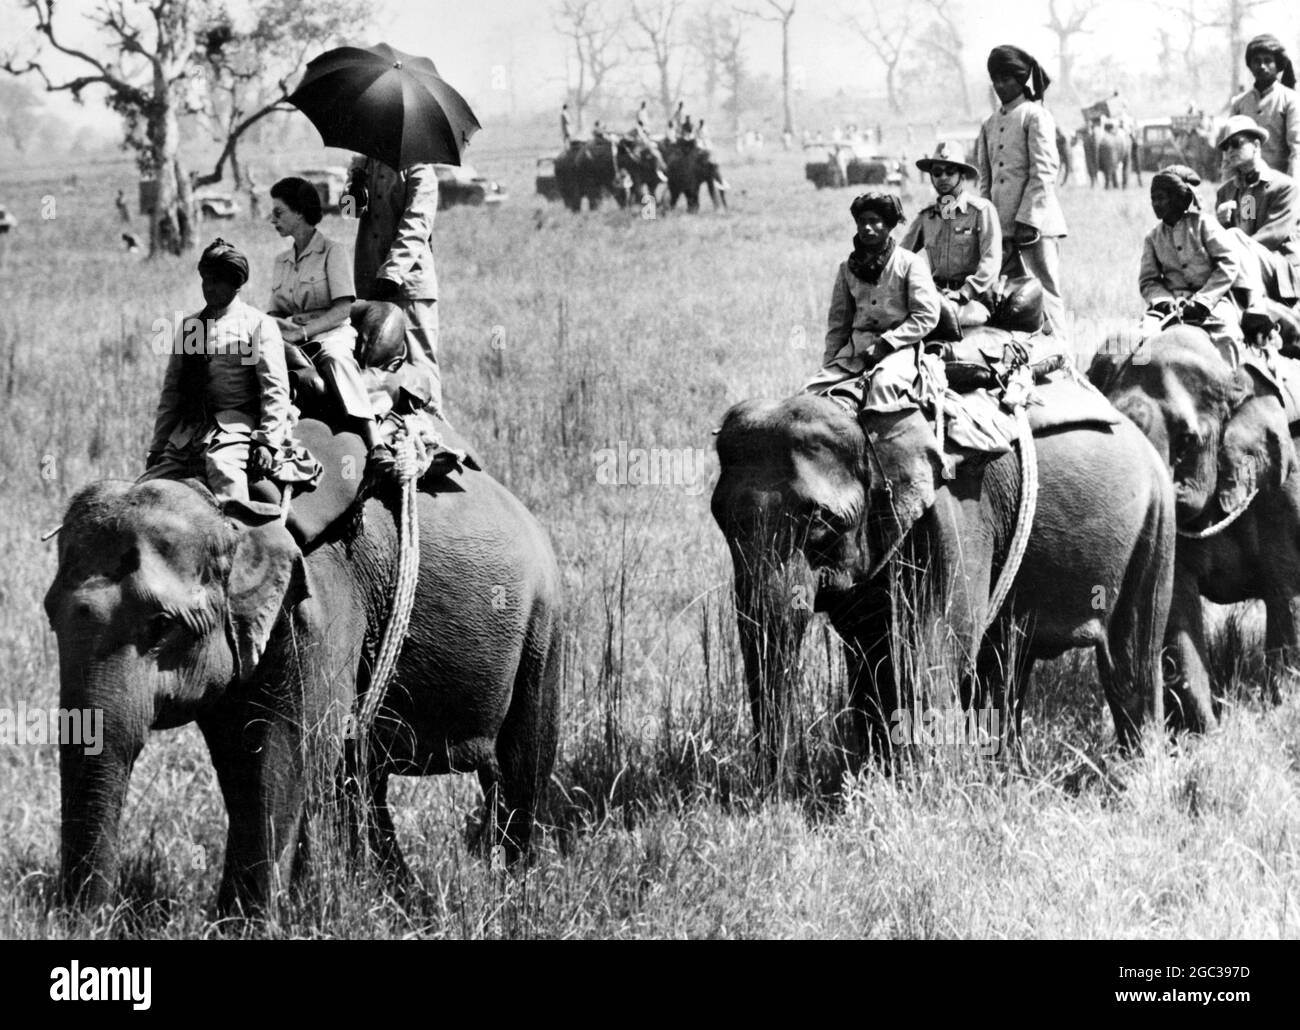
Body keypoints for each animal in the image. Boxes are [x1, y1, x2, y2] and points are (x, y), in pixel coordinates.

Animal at [44, 431, 564, 915]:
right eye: (50, 617)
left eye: (162, 624)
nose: (84, 921)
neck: (223, 504)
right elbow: (239, 763)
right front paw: (235, 919)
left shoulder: (321, 606)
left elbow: (281, 755)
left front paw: (250, 924)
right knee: (363, 777)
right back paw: (401, 898)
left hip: (544, 624)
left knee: (522, 761)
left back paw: (512, 896)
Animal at [717, 395, 1175, 769]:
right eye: (722, 521)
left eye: (820, 522)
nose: (775, 788)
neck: (865, 421)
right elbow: (871, 658)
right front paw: (875, 780)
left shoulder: (958, 511)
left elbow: (932, 651)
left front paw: (924, 790)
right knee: (1007, 659)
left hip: (1154, 522)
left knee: (1130, 661)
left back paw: (1136, 780)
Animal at [1092, 326, 1300, 728]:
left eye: (1188, 439)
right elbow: (1177, 611)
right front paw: (1206, 733)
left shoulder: (1288, 488)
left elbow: (1289, 597)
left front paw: (1282, 710)